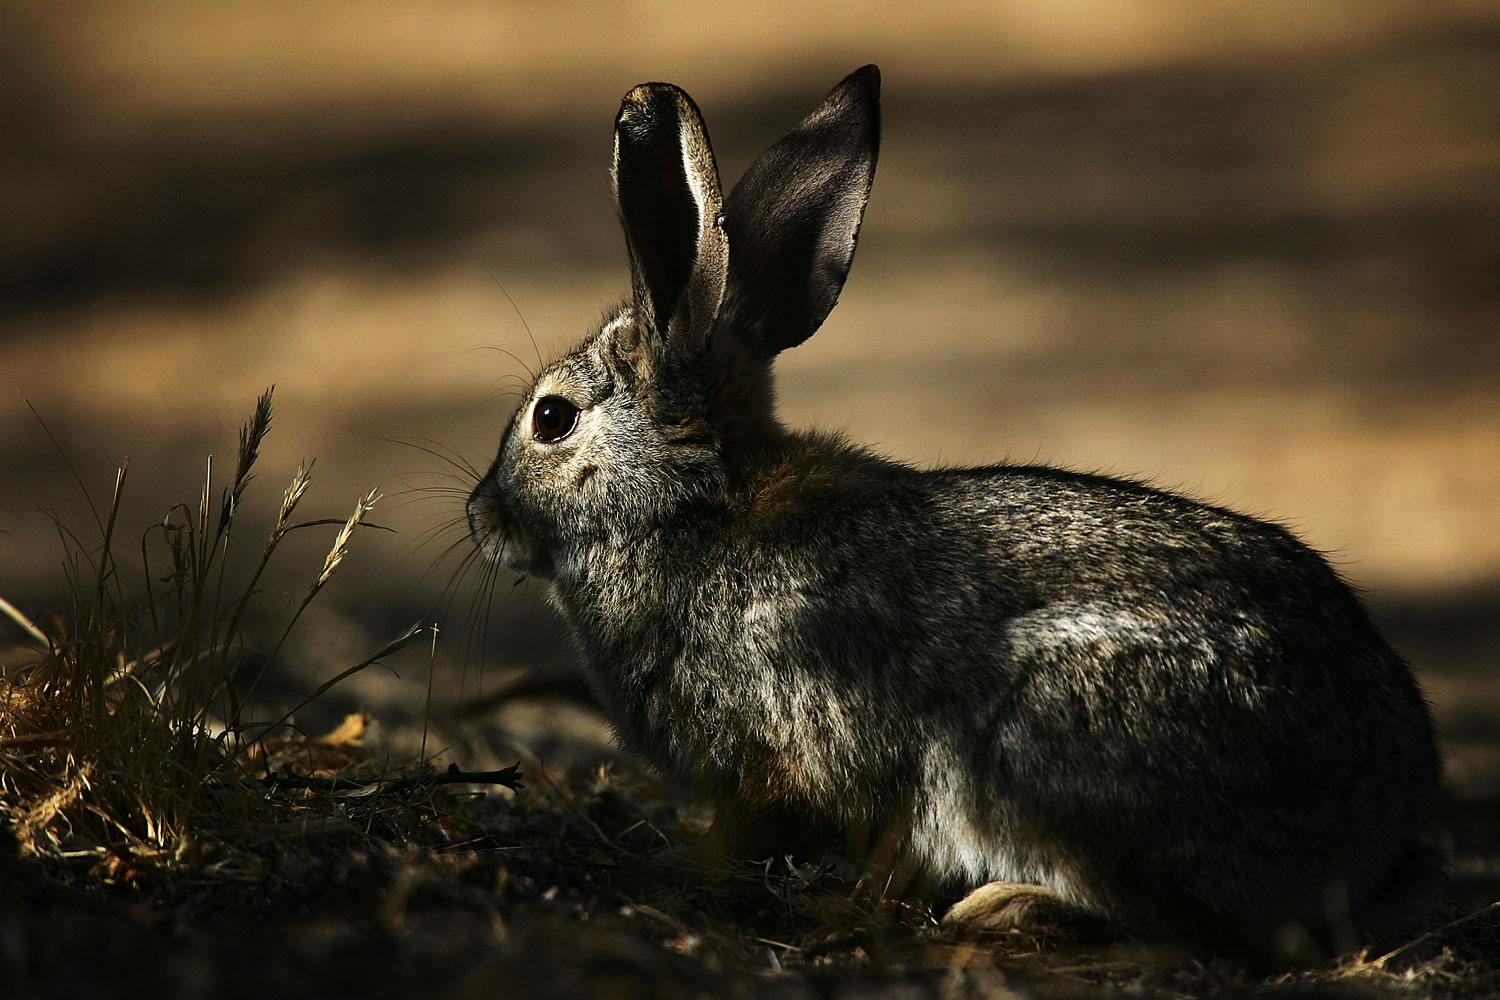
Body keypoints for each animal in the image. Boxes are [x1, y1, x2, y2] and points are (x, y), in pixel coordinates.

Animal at [466, 65, 1443, 959]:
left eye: (551, 419)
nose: (481, 516)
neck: (692, 504)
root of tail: (1383, 832)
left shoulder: (777, 761)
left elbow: (754, 829)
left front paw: (670, 867)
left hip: (1039, 743)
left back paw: (1001, 908)